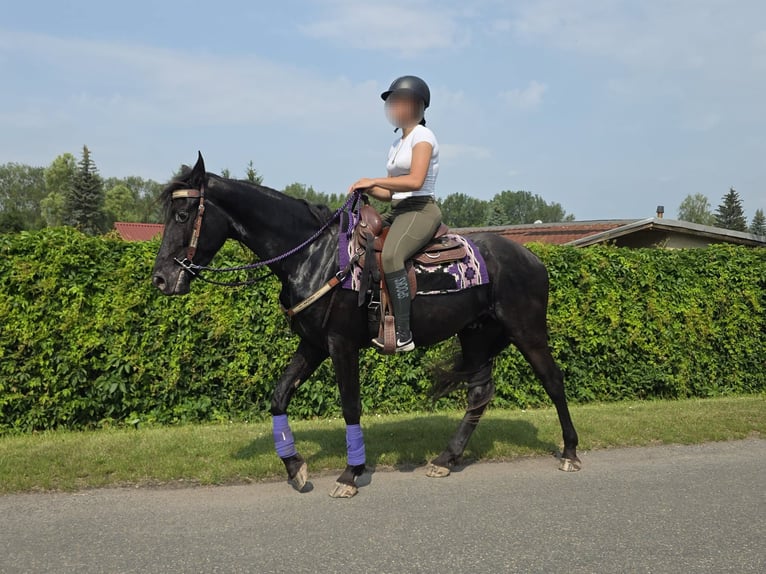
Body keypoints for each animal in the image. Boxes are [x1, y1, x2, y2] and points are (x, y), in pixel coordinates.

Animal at [152, 153, 581, 498]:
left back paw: (570, 452)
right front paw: (295, 467)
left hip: (527, 332)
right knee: (479, 393)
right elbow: (279, 395)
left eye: (183, 215)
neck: (315, 255)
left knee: (553, 381)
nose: (160, 279)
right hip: (475, 334)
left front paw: (350, 474)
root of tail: (532, 258)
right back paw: (446, 457)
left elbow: (351, 406)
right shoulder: (313, 345)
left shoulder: (341, 344)